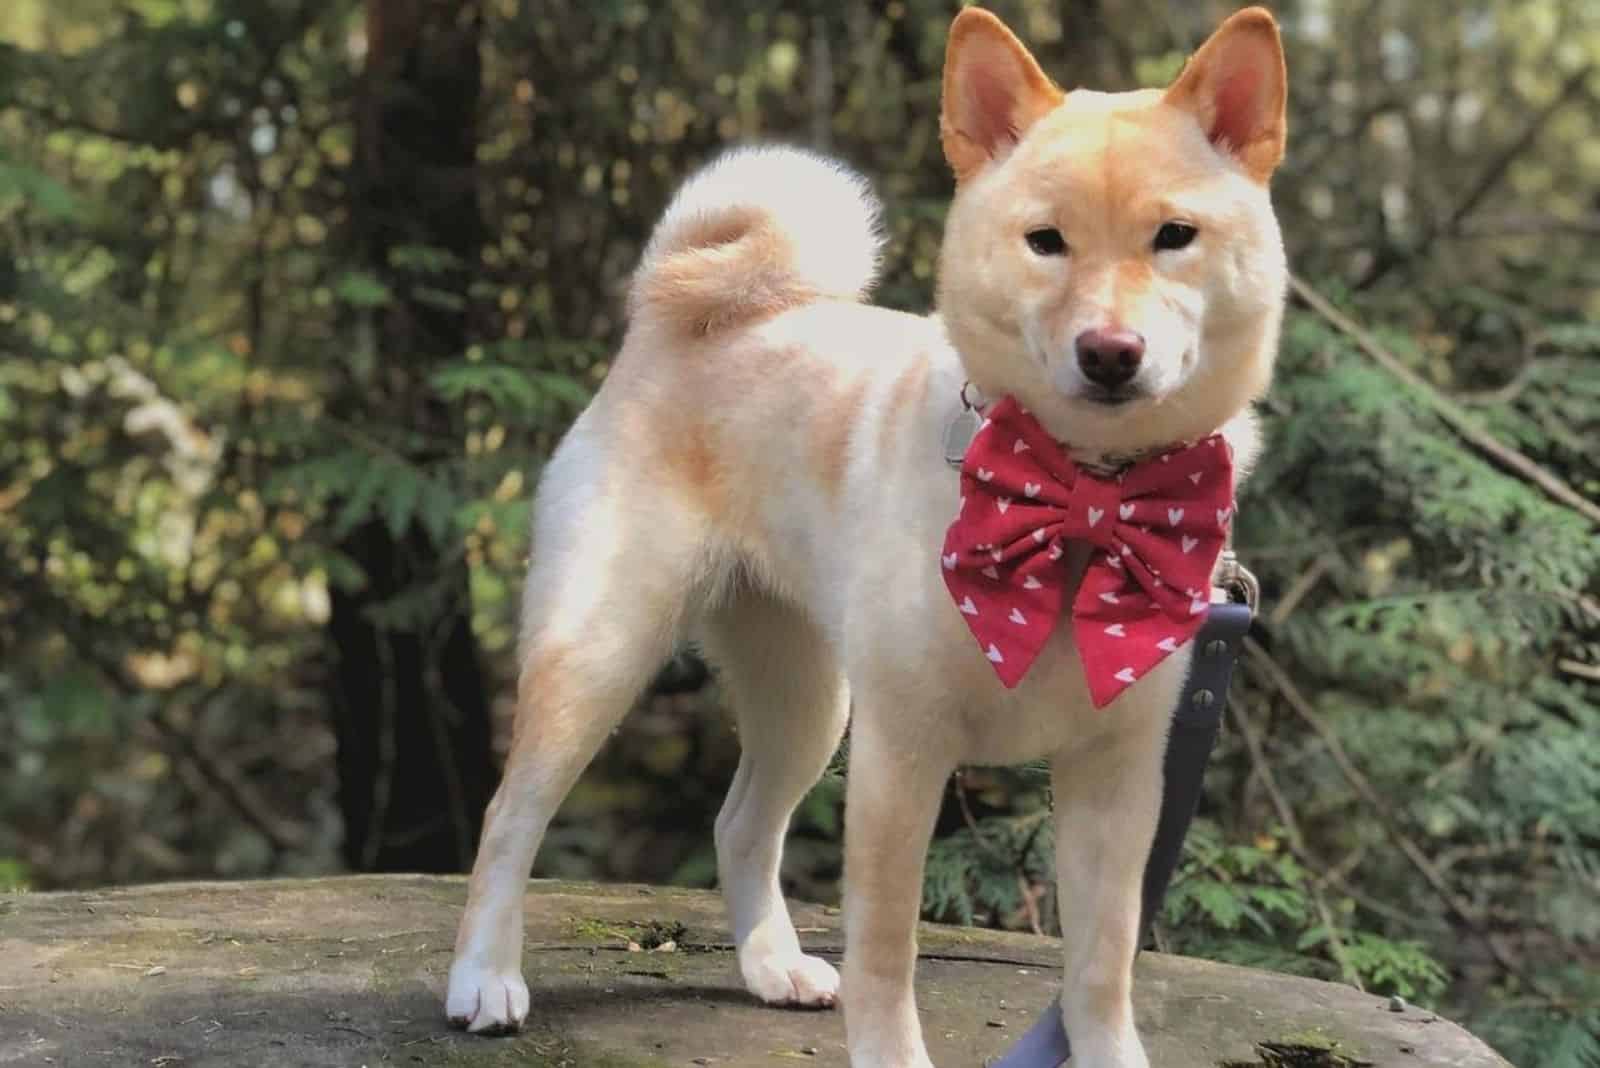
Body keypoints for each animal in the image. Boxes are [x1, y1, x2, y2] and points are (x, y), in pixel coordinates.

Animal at [448, 6, 1286, 1061]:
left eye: (1175, 236)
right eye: (1045, 242)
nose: (1109, 352)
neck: (1082, 497)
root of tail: (680, 316)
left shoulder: (1117, 777)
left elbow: (1102, 968)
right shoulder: (902, 752)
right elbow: (888, 954)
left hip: (808, 699)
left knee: (740, 824)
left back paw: (771, 964)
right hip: (603, 654)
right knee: (507, 818)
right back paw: (484, 976)